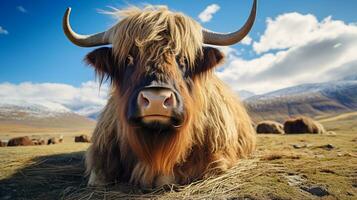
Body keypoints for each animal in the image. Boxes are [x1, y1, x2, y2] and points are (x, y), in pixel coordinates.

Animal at [63, 0, 256, 188]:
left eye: (183, 59)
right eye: (128, 59)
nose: (156, 100)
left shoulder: (218, 156)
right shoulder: (101, 153)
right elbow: (98, 177)